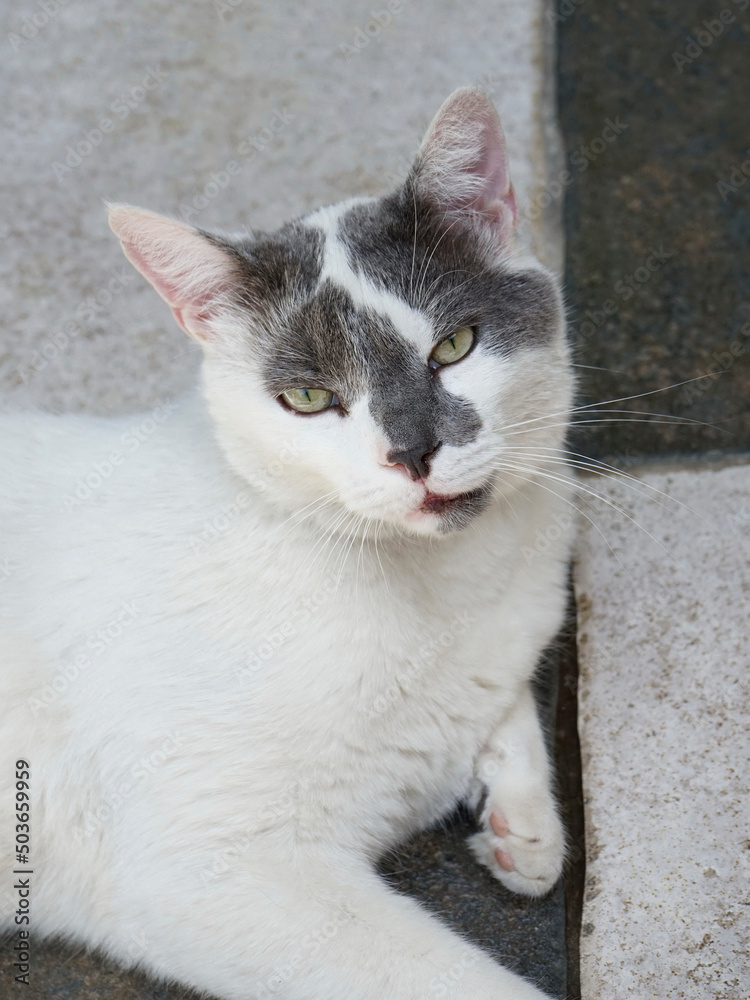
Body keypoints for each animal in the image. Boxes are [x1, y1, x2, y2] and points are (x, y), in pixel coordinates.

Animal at [0, 90, 576, 996]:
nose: (414, 451)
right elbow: (461, 982)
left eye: (454, 346)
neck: (441, 584)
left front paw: (523, 821)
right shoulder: (209, 866)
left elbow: (507, 712)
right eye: (308, 398)